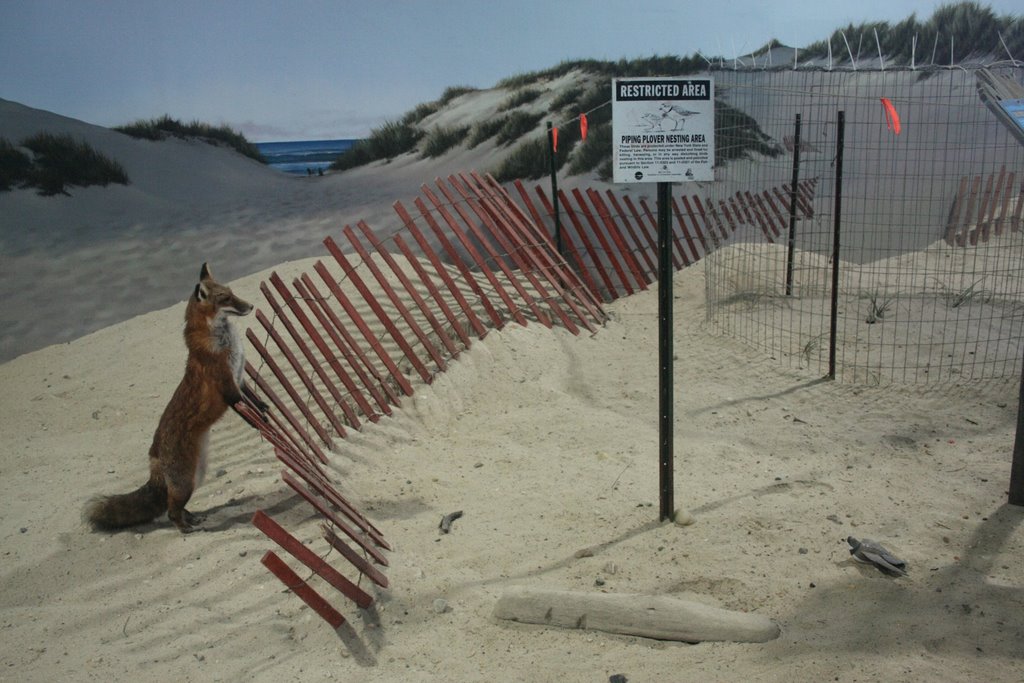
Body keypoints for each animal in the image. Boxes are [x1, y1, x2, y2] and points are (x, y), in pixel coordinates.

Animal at [84, 264, 266, 532]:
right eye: (225, 298)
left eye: (232, 292)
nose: (251, 306)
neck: (223, 341)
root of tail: (154, 454)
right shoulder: (228, 387)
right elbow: (246, 412)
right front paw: (261, 425)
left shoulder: (240, 378)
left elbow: (257, 400)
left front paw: (266, 410)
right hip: (186, 482)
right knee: (170, 511)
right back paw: (185, 527)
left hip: (196, 476)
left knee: (174, 505)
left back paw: (191, 517)